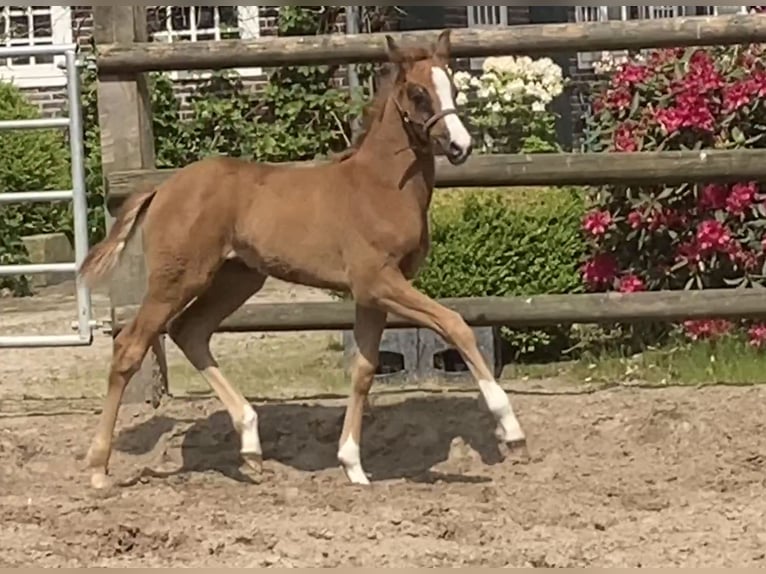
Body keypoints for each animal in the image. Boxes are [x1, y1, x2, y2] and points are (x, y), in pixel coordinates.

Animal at [82, 30, 528, 490]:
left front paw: (352, 464)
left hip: (237, 279)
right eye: (418, 93)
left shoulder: (371, 295)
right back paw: (98, 467)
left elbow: (364, 370)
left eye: (452, 87)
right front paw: (510, 431)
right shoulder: (378, 281)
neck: (380, 186)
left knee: (190, 331)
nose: (461, 145)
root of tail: (162, 188)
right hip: (178, 279)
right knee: (130, 347)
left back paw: (250, 445)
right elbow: (455, 324)